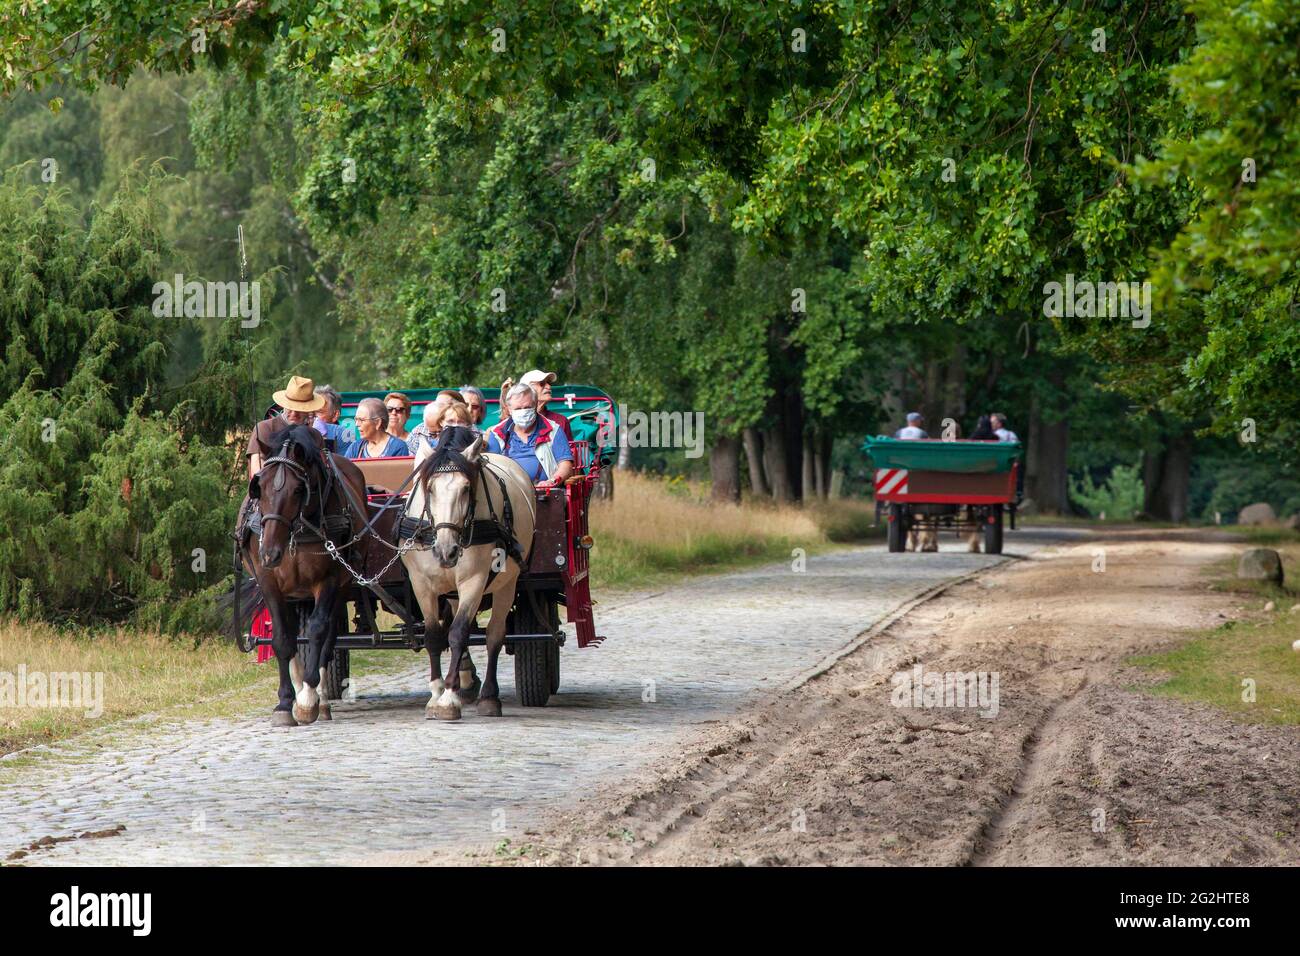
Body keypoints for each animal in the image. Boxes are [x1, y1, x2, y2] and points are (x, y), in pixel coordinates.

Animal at [237, 424, 369, 723]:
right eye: (258, 486)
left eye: (298, 489)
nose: (269, 552)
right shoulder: (269, 582)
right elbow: (282, 638)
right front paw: (285, 703)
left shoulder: (329, 580)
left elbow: (318, 631)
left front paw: (309, 698)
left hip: (340, 587)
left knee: (328, 637)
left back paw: (320, 699)